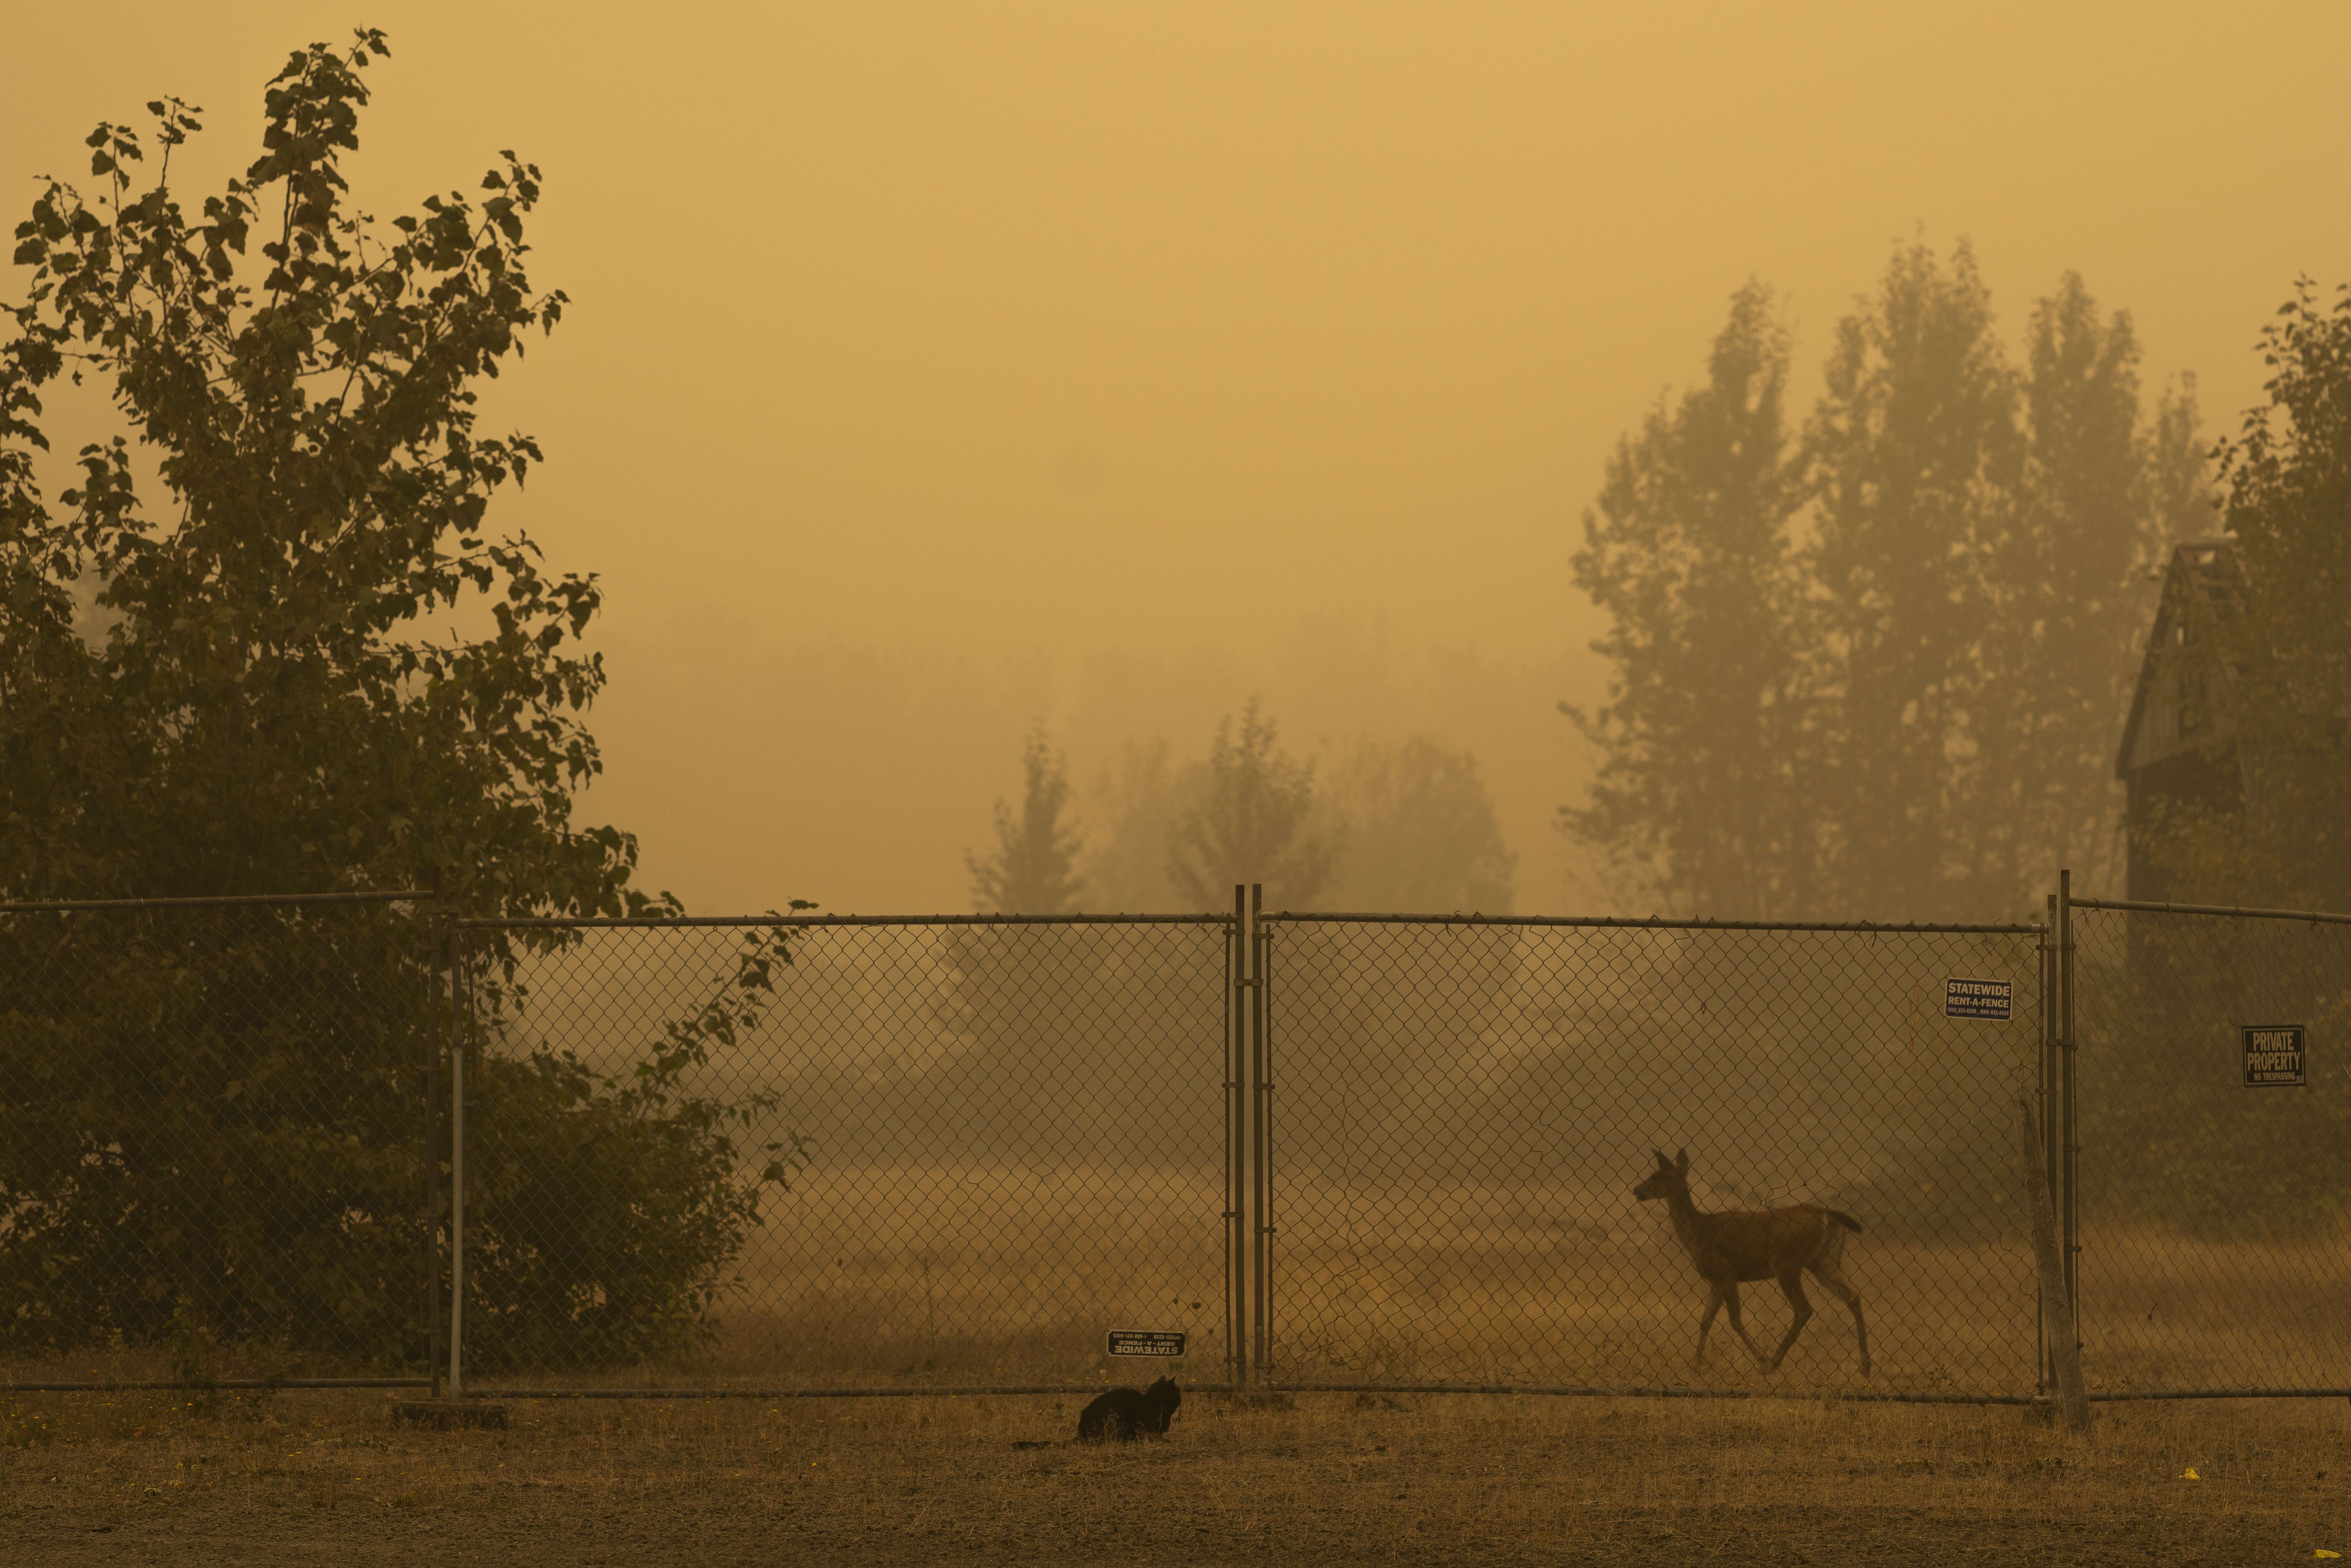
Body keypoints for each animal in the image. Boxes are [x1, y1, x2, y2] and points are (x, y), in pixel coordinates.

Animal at [1636, 1147, 1871, 1382]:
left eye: (1657, 1176)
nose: (1637, 1190)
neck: (1699, 1232)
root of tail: (1826, 1214)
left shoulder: (1728, 1274)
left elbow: (1735, 1321)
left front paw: (1762, 1361)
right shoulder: (1716, 1281)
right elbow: (1705, 1321)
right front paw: (1696, 1365)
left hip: (1786, 1263)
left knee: (1804, 1309)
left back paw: (1774, 1361)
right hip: (1824, 1262)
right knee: (1853, 1297)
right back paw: (1866, 1367)